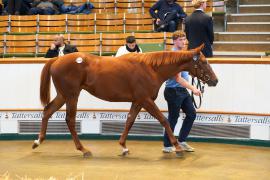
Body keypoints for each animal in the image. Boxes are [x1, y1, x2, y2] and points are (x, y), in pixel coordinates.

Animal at [32, 44, 217, 158]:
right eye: (203, 61)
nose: (215, 81)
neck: (151, 68)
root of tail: (57, 59)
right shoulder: (146, 100)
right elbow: (164, 120)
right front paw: (177, 147)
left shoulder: (138, 101)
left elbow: (129, 121)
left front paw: (123, 146)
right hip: (71, 96)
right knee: (69, 119)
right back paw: (83, 150)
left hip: (63, 96)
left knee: (47, 111)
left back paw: (38, 141)